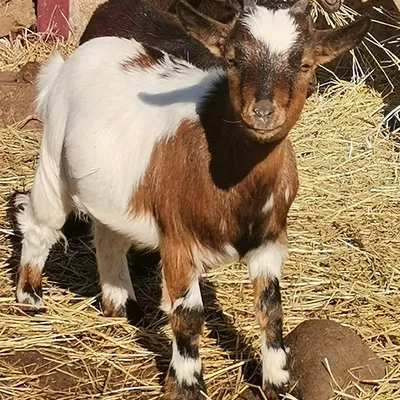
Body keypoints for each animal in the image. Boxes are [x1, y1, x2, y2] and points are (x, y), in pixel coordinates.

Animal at [15, 1, 370, 398]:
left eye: (305, 64)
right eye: (233, 60)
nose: (263, 112)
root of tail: (75, 58)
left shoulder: (269, 241)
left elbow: (271, 309)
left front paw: (277, 380)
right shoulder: (177, 239)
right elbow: (188, 315)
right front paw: (186, 384)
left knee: (108, 236)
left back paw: (121, 303)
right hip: (53, 156)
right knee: (41, 222)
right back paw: (31, 297)